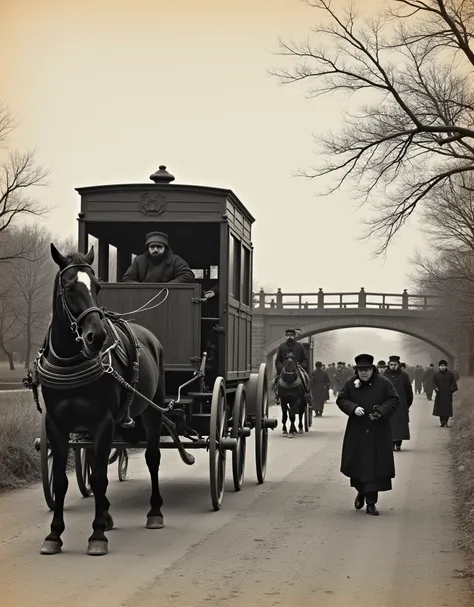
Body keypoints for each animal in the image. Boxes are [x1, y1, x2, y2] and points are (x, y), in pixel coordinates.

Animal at [35, 246, 189, 556]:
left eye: (97, 286)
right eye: (69, 288)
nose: (96, 336)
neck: (71, 360)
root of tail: (148, 334)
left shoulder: (103, 421)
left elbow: (99, 478)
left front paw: (97, 535)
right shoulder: (58, 423)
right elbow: (62, 479)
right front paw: (54, 534)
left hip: (152, 411)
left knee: (152, 458)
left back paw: (154, 512)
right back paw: (106, 513)